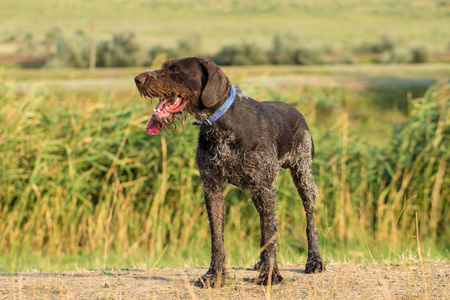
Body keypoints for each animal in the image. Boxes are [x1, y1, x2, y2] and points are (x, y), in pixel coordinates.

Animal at [134, 56, 324, 288]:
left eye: (175, 69)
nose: (138, 79)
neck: (222, 124)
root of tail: (297, 112)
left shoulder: (264, 187)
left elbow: (269, 232)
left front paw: (270, 275)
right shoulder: (212, 186)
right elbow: (217, 237)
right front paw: (214, 275)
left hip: (302, 174)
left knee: (309, 219)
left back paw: (314, 261)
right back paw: (261, 263)